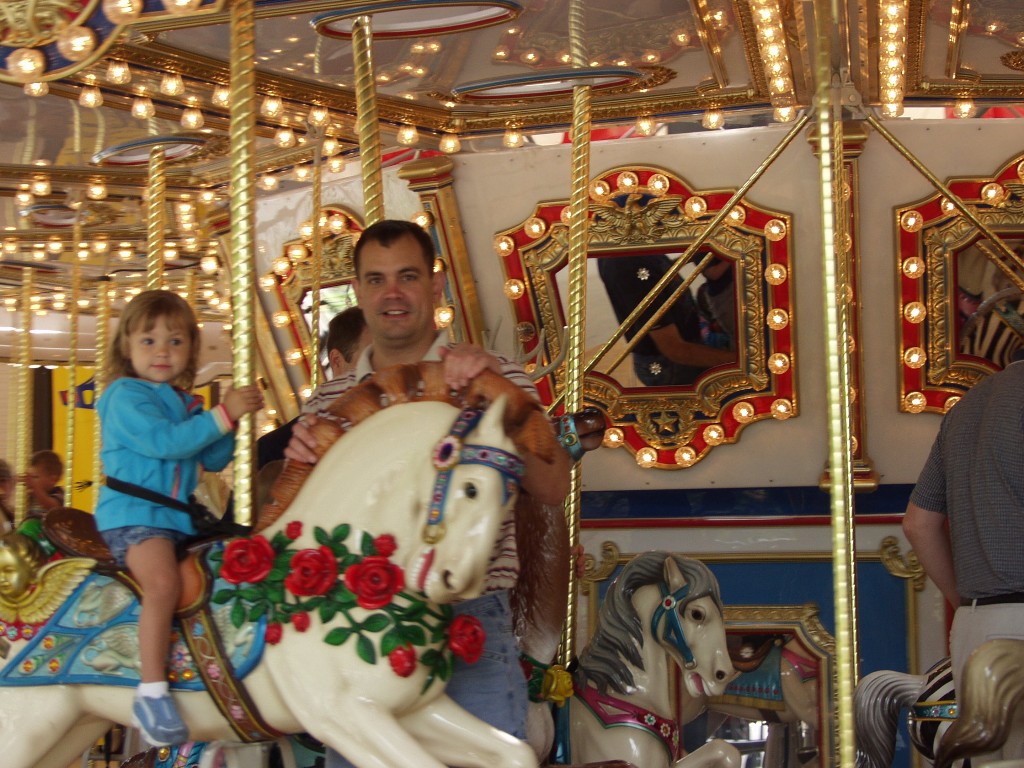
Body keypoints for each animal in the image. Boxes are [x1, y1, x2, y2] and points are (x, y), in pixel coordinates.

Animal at [0, 362, 568, 768]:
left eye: (512, 494)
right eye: (471, 488)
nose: (457, 579)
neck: (334, 569)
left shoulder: (416, 710)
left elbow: (515, 752)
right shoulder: (341, 714)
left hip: (72, 723)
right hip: (28, 720)